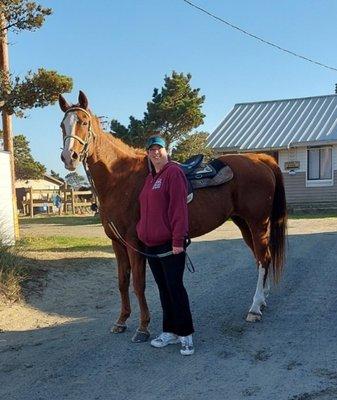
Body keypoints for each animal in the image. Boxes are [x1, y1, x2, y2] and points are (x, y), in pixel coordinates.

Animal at [58, 91, 286, 344]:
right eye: (62, 125)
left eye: (83, 122)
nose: (69, 156)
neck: (121, 179)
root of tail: (261, 159)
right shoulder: (117, 242)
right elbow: (122, 282)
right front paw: (121, 321)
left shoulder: (135, 242)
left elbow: (138, 284)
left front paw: (143, 327)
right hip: (244, 224)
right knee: (261, 258)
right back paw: (262, 300)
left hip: (258, 223)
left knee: (263, 259)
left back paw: (255, 308)